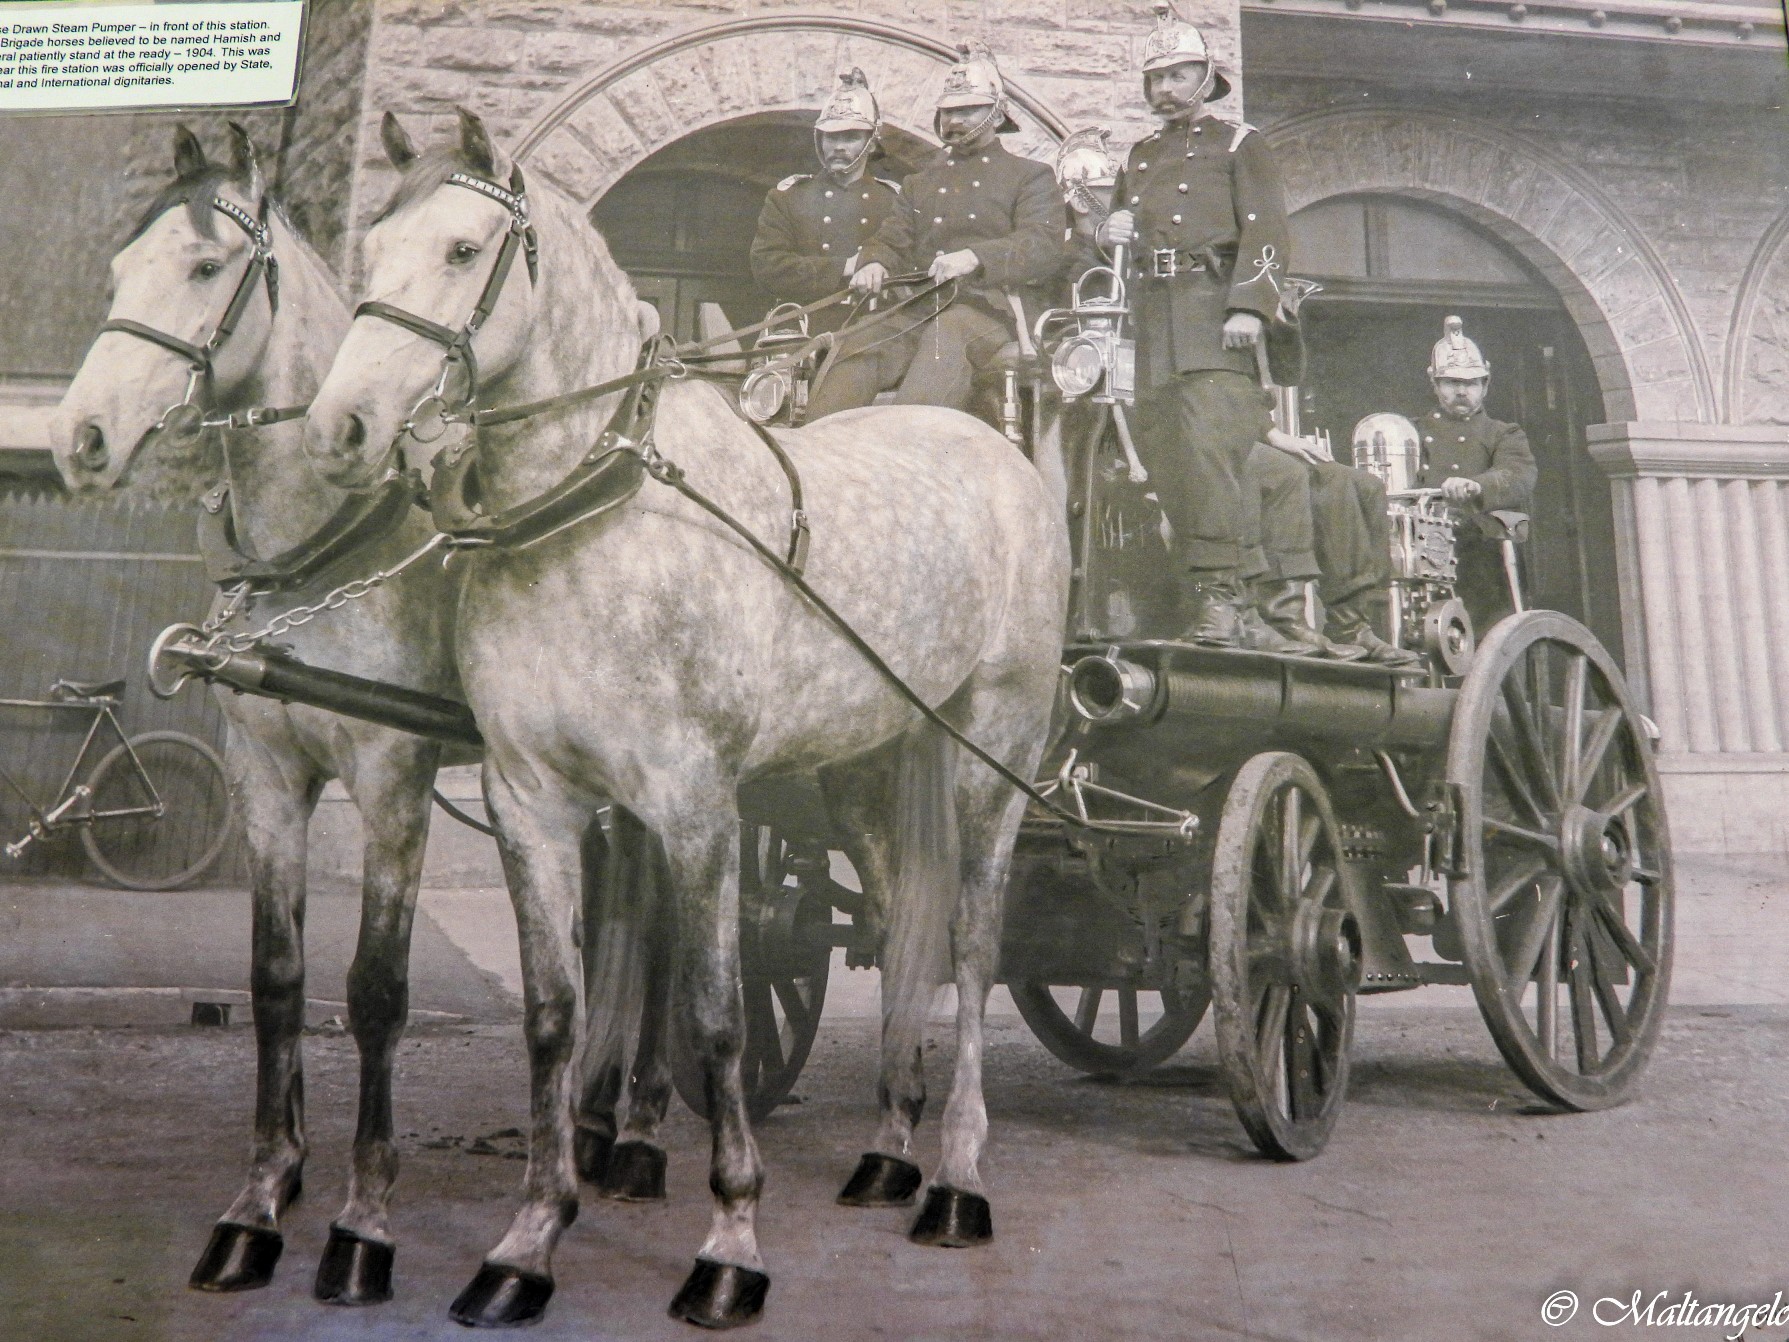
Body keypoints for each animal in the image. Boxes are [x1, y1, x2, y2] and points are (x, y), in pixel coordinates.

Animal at [301, 106, 1069, 1330]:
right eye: (369, 252)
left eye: (465, 251)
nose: (342, 426)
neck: (592, 513)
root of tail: (995, 447)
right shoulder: (531, 800)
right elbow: (554, 1013)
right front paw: (527, 1240)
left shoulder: (699, 805)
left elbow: (714, 1012)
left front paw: (730, 1242)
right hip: (864, 766)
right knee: (900, 918)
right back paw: (890, 1148)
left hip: (992, 749)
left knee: (972, 940)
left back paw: (955, 1176)